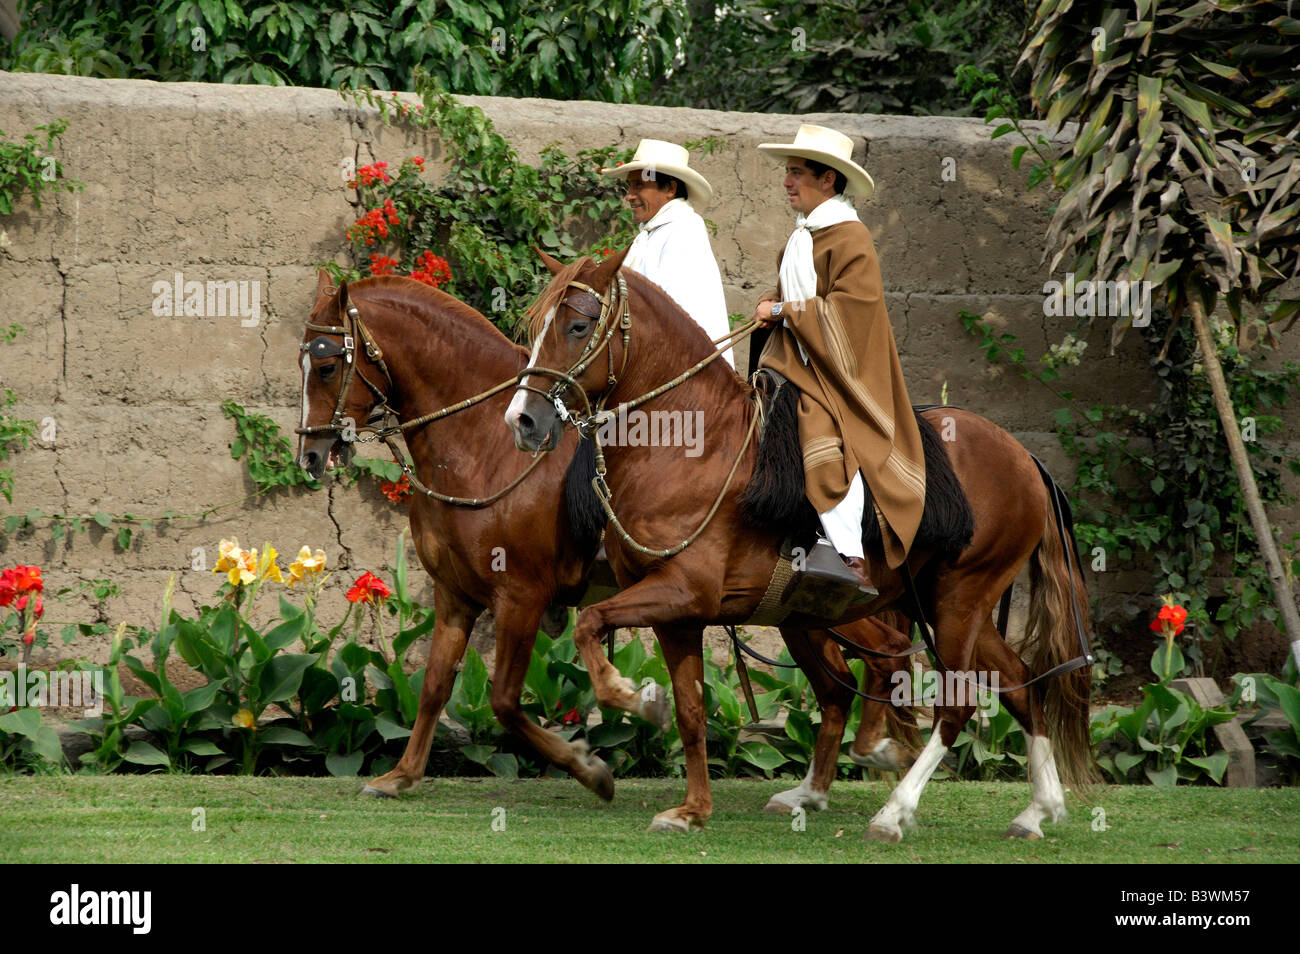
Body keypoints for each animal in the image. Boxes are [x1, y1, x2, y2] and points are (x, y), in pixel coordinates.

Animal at [292, 269, 915, 805]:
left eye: (325, 367)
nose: (311, 454)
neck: (483, 449)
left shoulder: (520, 596)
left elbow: (504, 702)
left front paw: (589, 768)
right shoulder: (456, 596)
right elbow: (435, 686)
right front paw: (401, 775)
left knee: (885, 654)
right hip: (795, 613)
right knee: (845, 682)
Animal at [506, 252, 1097, 842]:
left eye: (577, 327)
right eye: (534, 330)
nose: (524, 420)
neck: (692, 447)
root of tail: (1023, 456)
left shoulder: (682, 592)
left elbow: (590, 624)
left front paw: (631, 696)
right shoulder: (678, 616)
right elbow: (692, 711)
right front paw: (692, 808)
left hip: (959, 600)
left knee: (956, 703)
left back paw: (894, 811)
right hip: (919, 604)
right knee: (1016, 684)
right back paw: (1036, 809)